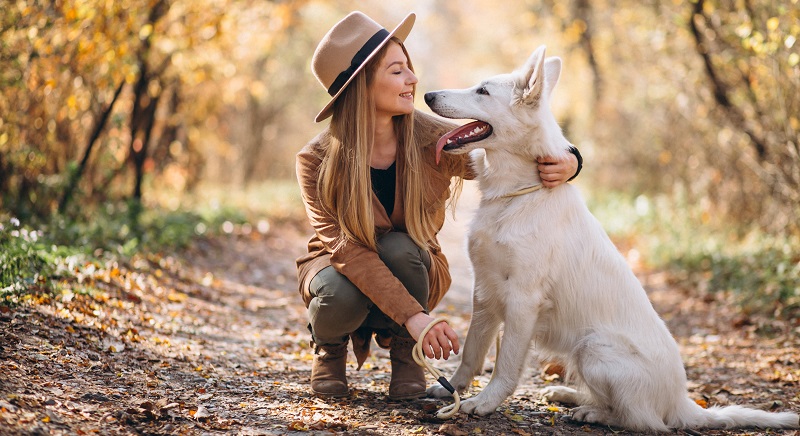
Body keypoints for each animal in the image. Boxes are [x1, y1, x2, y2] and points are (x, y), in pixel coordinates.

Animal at [422, 46, 796, 430]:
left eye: (482, 91)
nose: (427, 95)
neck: (518, 194)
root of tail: (682, 402)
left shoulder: (523, 300)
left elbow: (506, 365)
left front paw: (484, 402)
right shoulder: (485, 292)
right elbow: (471, 352)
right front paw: (452, 388)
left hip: (594, 347)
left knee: (640, 419)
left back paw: (591, 412)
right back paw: (567, 395)